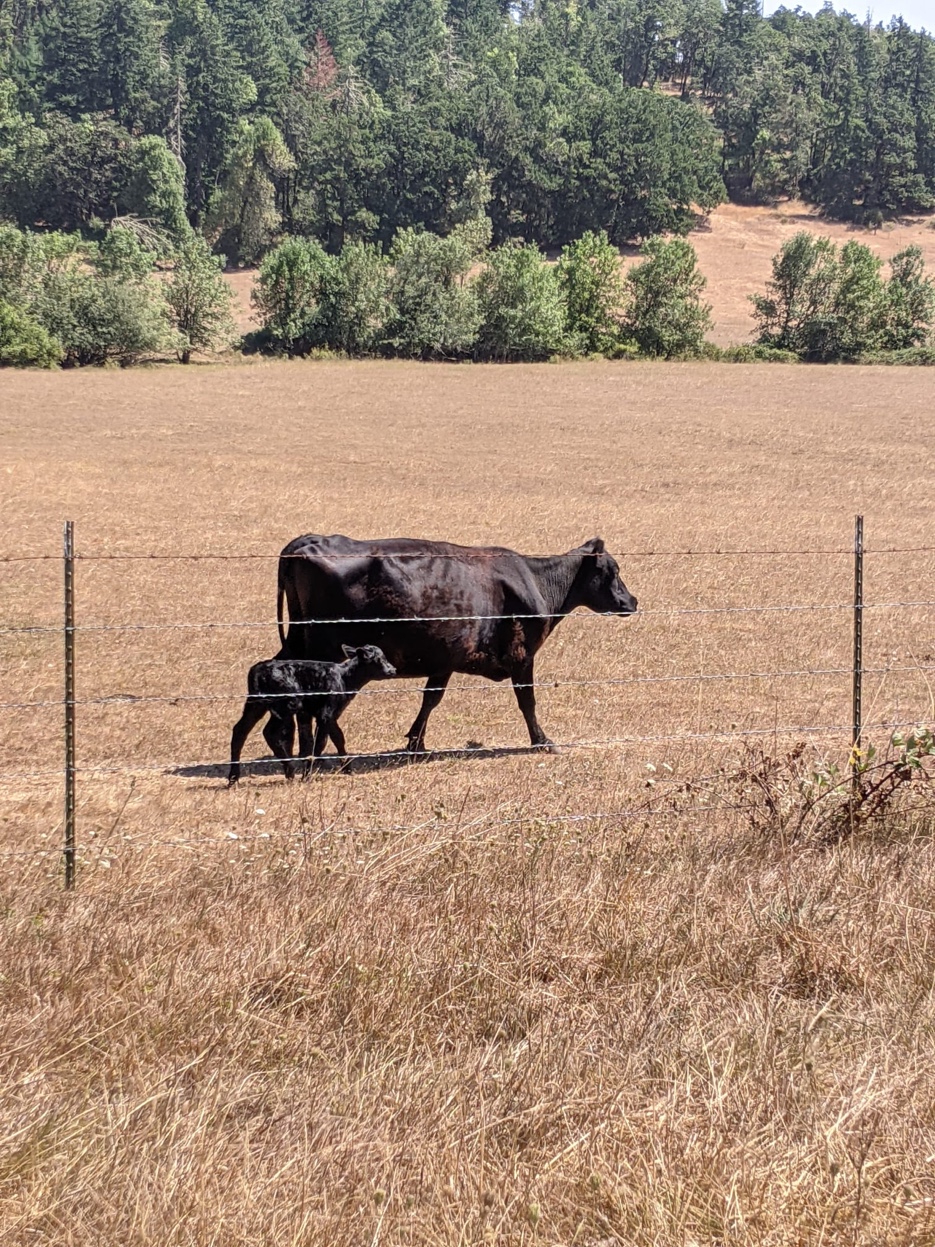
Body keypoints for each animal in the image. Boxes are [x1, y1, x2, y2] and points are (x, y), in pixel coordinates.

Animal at [228, 644, 397, 786]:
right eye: (379, 659)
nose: (393, 670)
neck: (344, 677)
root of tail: (258, 669)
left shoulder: (329, 715)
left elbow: (333, 739)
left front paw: (344, 769)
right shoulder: (326, 713)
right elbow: (324, 741)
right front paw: (309, 774)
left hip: (256, 705)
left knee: (240, 731)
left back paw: (233, 778)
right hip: (287, 705)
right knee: (269, 732)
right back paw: (289, 770)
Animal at [276, 534, 637, 752]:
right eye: (612, 570)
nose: (632, 601)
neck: (536, 581)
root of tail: (307, 541)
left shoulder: (445, 658)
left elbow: (431, 699)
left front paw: (416, 742)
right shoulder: (522, 655)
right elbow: (527, 701)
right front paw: (542, 740)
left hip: (297, 640)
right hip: (319, 648)